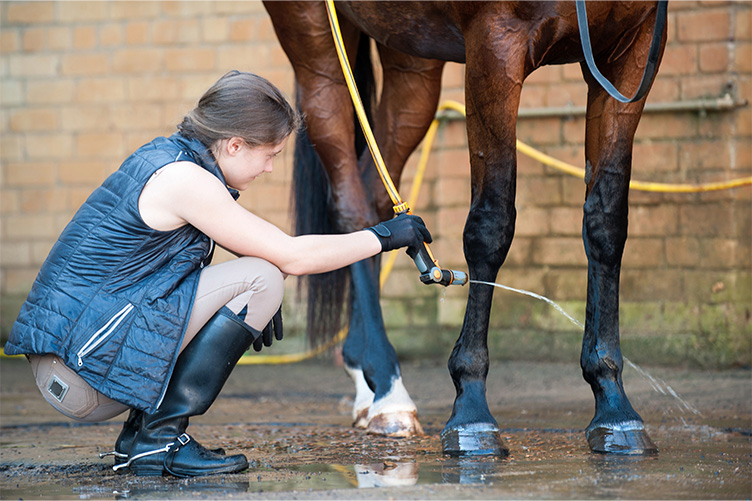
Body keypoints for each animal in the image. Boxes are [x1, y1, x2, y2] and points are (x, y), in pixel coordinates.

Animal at [263, 0, 667, 456]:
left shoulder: (631, 50)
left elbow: (606, 219)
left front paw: (613, 403)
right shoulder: (495, 46)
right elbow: (490, 225)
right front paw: (471, 409)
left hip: (410, 54)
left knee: (375, 190)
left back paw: (367, 380)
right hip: (314, 43)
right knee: (351, 201)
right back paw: (388, 389)